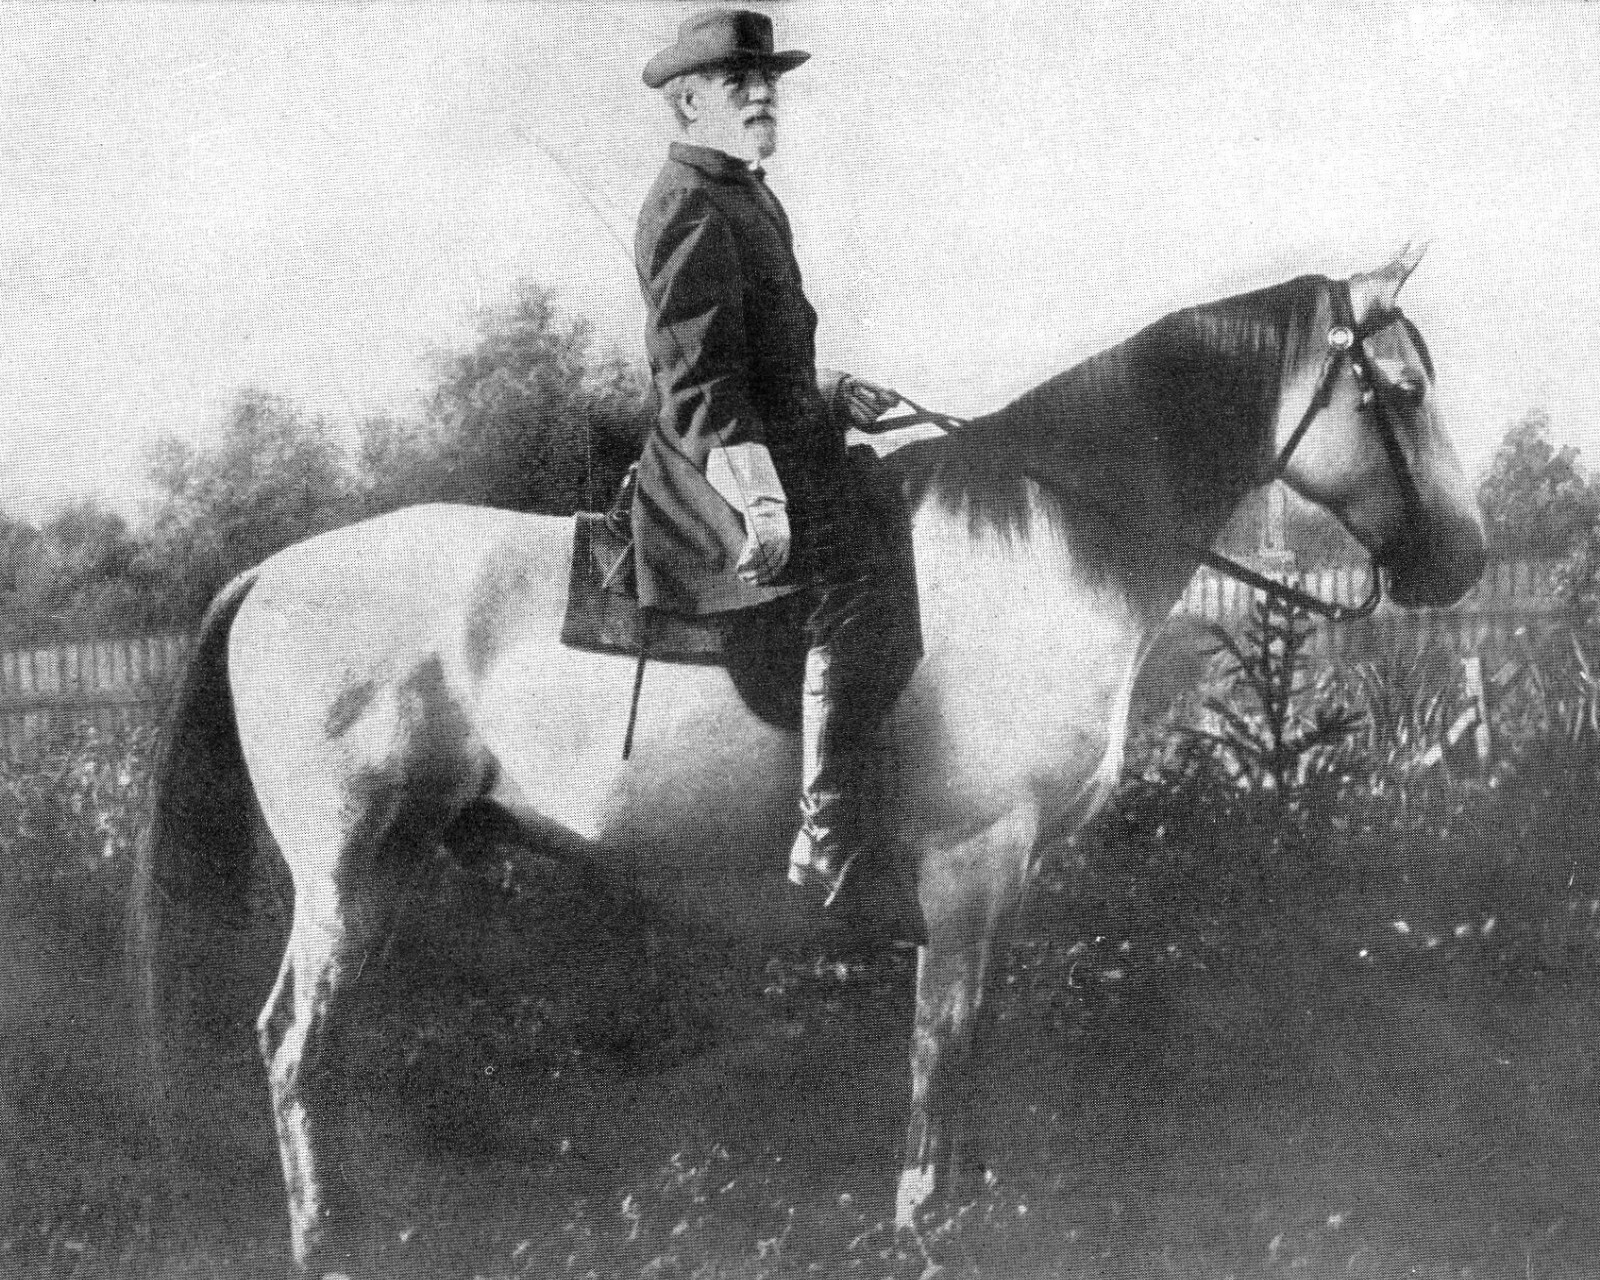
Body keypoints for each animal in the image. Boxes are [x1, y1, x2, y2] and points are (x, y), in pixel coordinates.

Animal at [133, 248, 1486, 1275]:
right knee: (294, 1044)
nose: (1461, 560)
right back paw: (328, 1240)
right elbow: (941, 1047)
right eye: (1402, 388)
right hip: (348, 873)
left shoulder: (1005, 880)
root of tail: (270, 574)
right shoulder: (969, 865)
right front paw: (926, 1222)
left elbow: (970, 1047)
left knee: (316, 1045)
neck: (1049, 545)